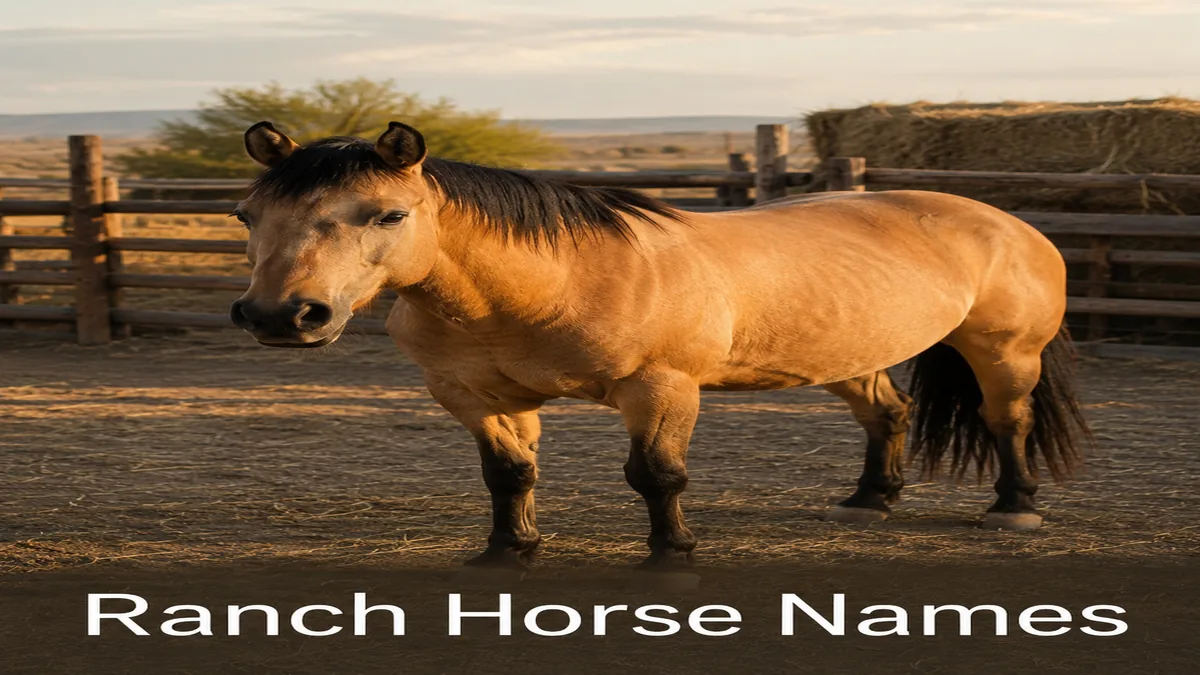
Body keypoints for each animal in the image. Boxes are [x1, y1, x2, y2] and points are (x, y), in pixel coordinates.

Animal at [230, 121, 1091, 571]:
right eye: (247, 214)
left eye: (388, 214)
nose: (282, 314)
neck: (550, 281)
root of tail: (1005, 222)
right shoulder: (478, 400)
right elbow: (508, 475)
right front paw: (510, 549)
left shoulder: (660, 389)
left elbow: (656, 474)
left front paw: (672, 552)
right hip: (849, 356)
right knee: (889, 412)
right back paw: (870, 498)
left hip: (1005, 352)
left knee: (1006, 420)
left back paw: (1014, 507)